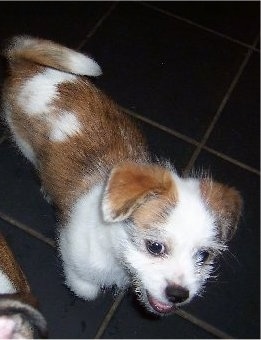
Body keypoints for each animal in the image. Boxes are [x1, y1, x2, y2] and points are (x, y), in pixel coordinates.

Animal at [1, 35, 242, 314]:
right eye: (155, 247)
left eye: (203, 255)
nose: (178, 295)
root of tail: (27, 65)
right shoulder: (75, 260)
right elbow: (85, 290)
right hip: (23, 141)